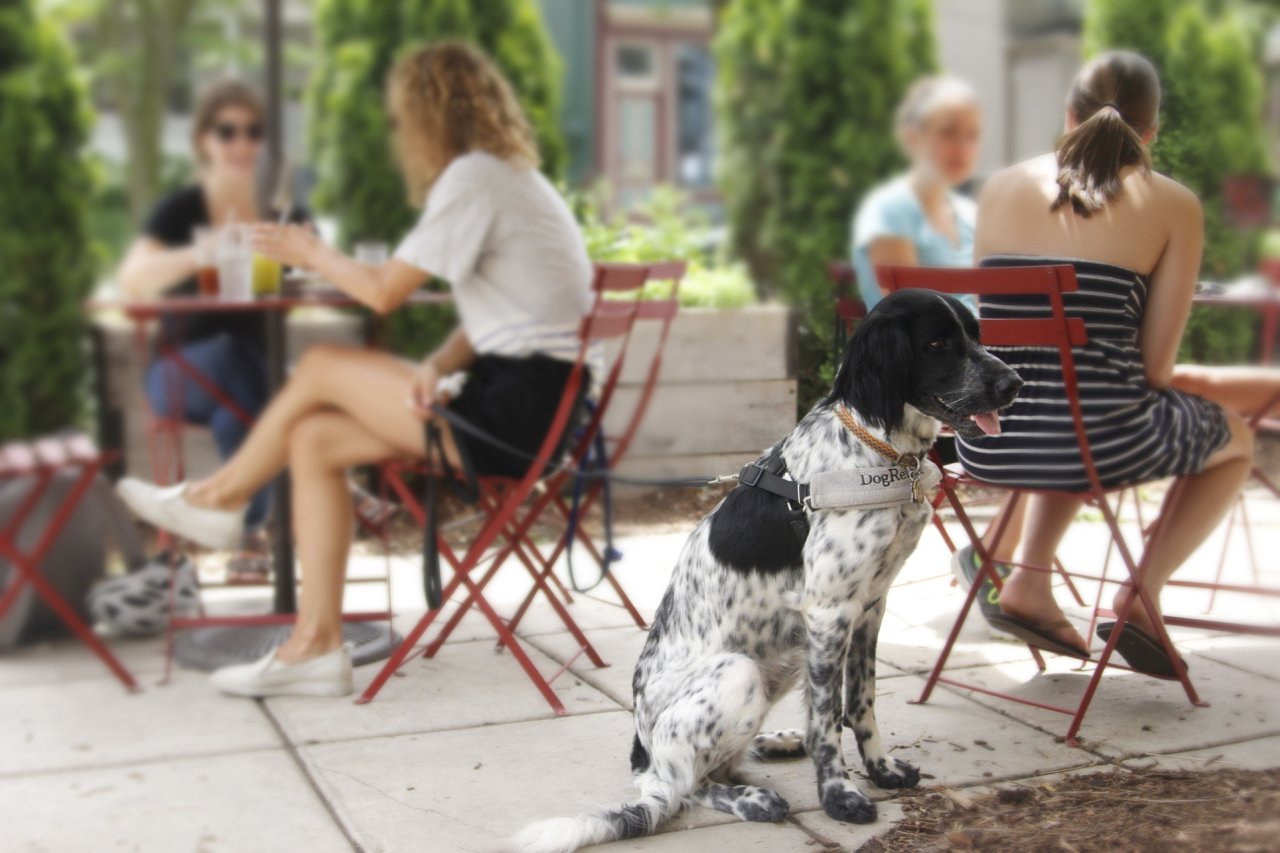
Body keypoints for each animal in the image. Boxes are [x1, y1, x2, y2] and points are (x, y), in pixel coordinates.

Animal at [509, 286, 1018, 850]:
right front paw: (839, 796)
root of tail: (643, 750)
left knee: (724, 761)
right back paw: (752, 799)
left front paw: (881, 770)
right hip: (740, 673)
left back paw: (778, 743)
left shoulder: (870, 607)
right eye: (936, 344)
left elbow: (860, 701)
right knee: (683, 787)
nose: (1014, 384)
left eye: (975, 335)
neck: (881, 451)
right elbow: (828, 720)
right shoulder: (829, 614)